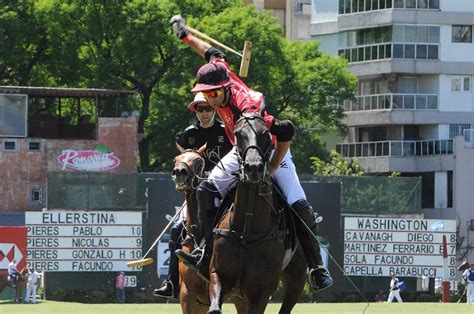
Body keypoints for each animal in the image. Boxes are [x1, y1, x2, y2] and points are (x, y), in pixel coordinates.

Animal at [208, 106, 308, 312]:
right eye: (238, 134)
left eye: (266, 134)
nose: (253, 168)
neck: (246, 231)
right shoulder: (217, 275)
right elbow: (214, 308)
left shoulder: (261, 291)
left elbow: (286, 128)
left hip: (297, 279)